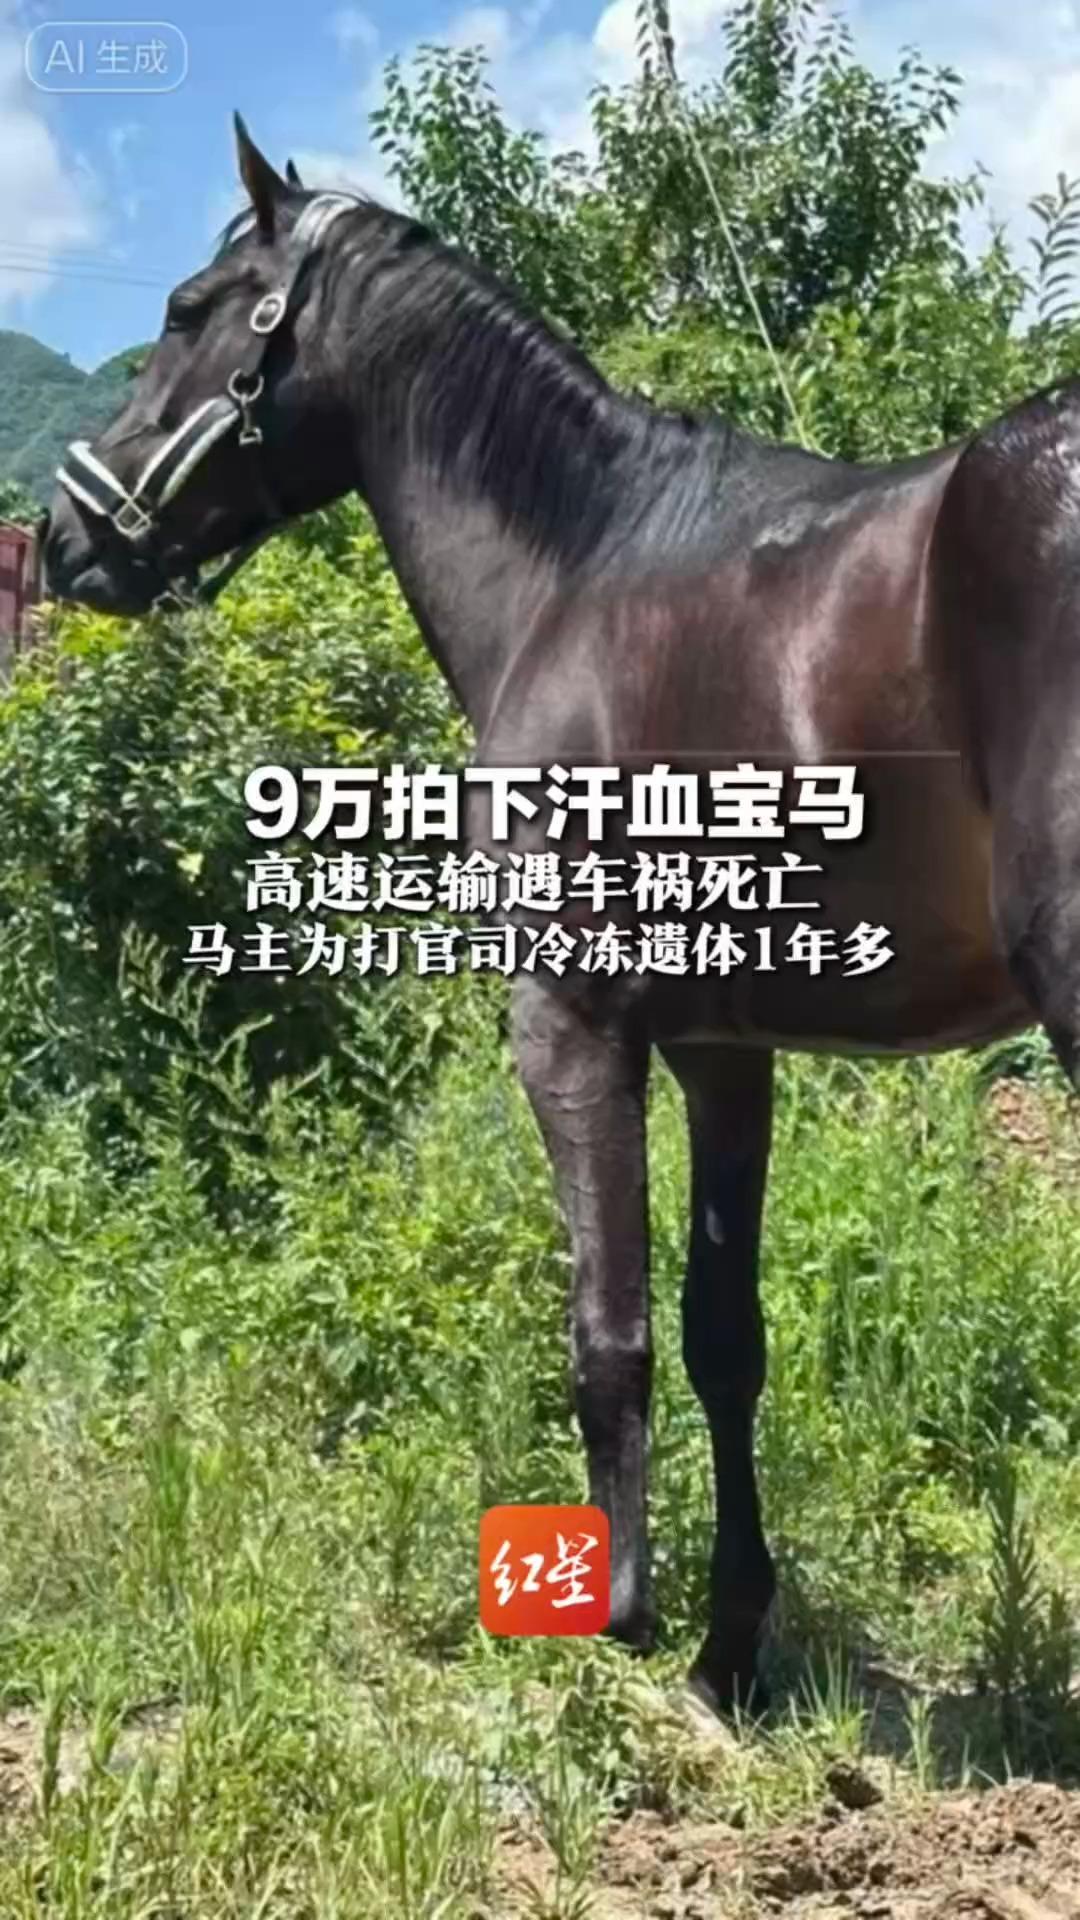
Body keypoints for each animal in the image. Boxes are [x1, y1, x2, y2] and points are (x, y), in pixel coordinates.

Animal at [44, 115, 1074, 1716]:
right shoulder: (724, 1047)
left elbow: (611, 1332)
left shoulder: (570, 1025)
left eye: (188, 308)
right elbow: (723, 1335)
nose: (62, 535)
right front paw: (728, 1645)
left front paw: (618, 1623)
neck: (581, 570)